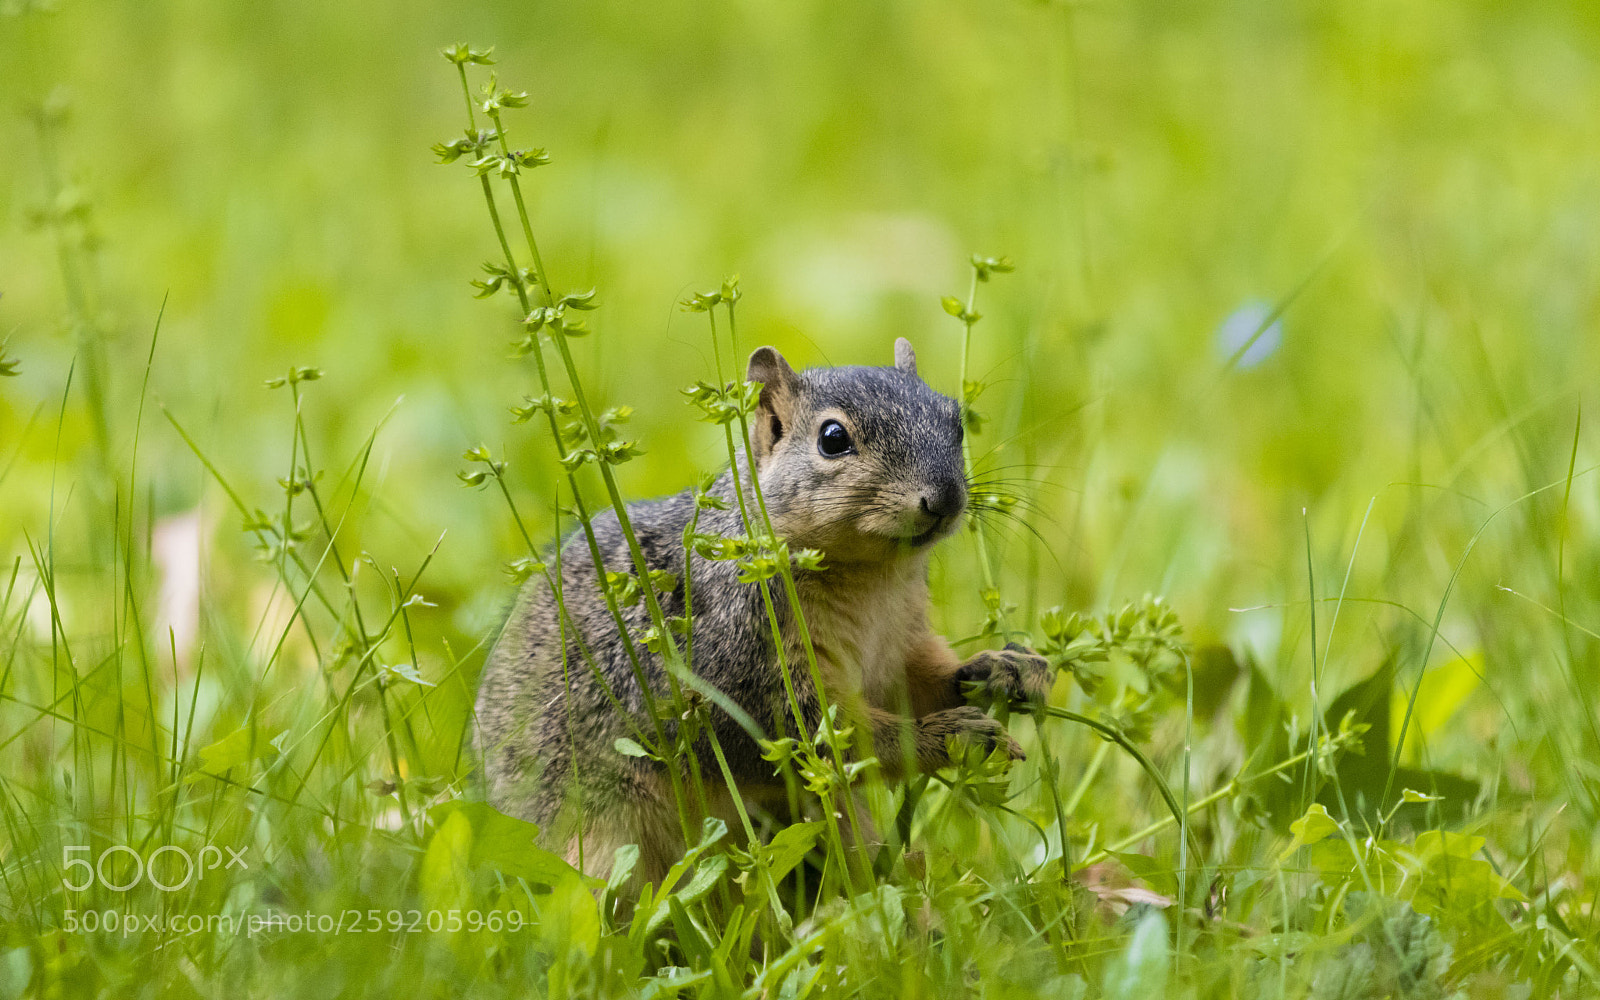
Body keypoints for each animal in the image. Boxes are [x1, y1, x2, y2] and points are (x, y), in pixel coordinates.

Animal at [474, 338, 1052, 885]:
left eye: (956, 422)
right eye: (832, 439)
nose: (945, 498)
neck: (873, 583)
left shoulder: (898, 646)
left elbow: (920, 683)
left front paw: (1005, 667)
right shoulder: (738, 672)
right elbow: (823, 739)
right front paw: (949, 737)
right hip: (605, 842)